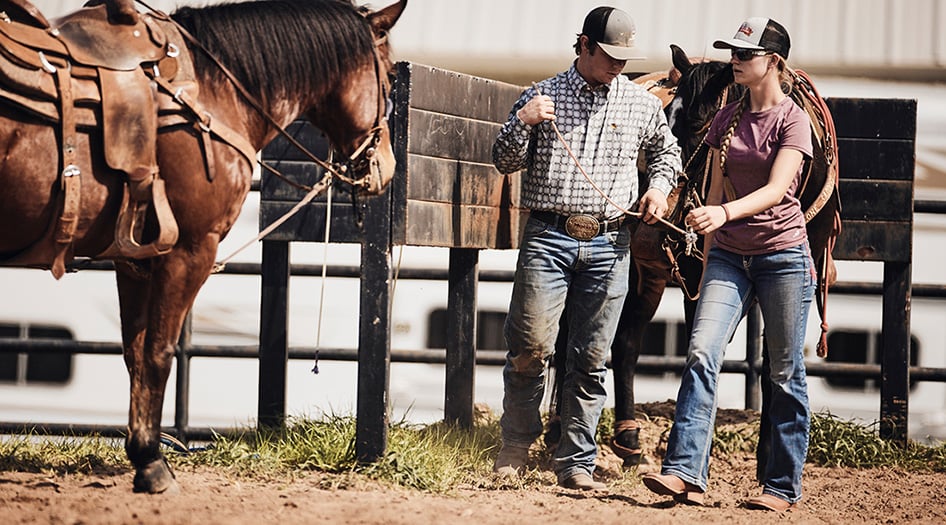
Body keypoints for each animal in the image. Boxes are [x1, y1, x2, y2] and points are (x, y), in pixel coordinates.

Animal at [0, 0, 406, 492]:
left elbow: (135, 352)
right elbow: (159, 352)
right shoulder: (190, 251)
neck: (215, 95)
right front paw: (152, 463)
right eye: (388, 78)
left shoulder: (133, 261)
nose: (387, 166)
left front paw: (144, 451)